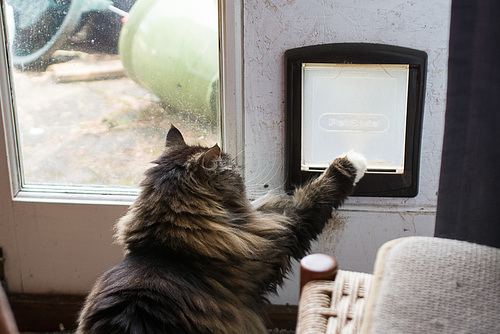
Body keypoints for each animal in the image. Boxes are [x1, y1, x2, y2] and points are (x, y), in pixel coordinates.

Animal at [78, 124, 368, 332]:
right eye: (234, 172)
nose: (242, 173)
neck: (167, 248)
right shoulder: (285, 228)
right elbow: (315, 194)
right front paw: (354, 160)